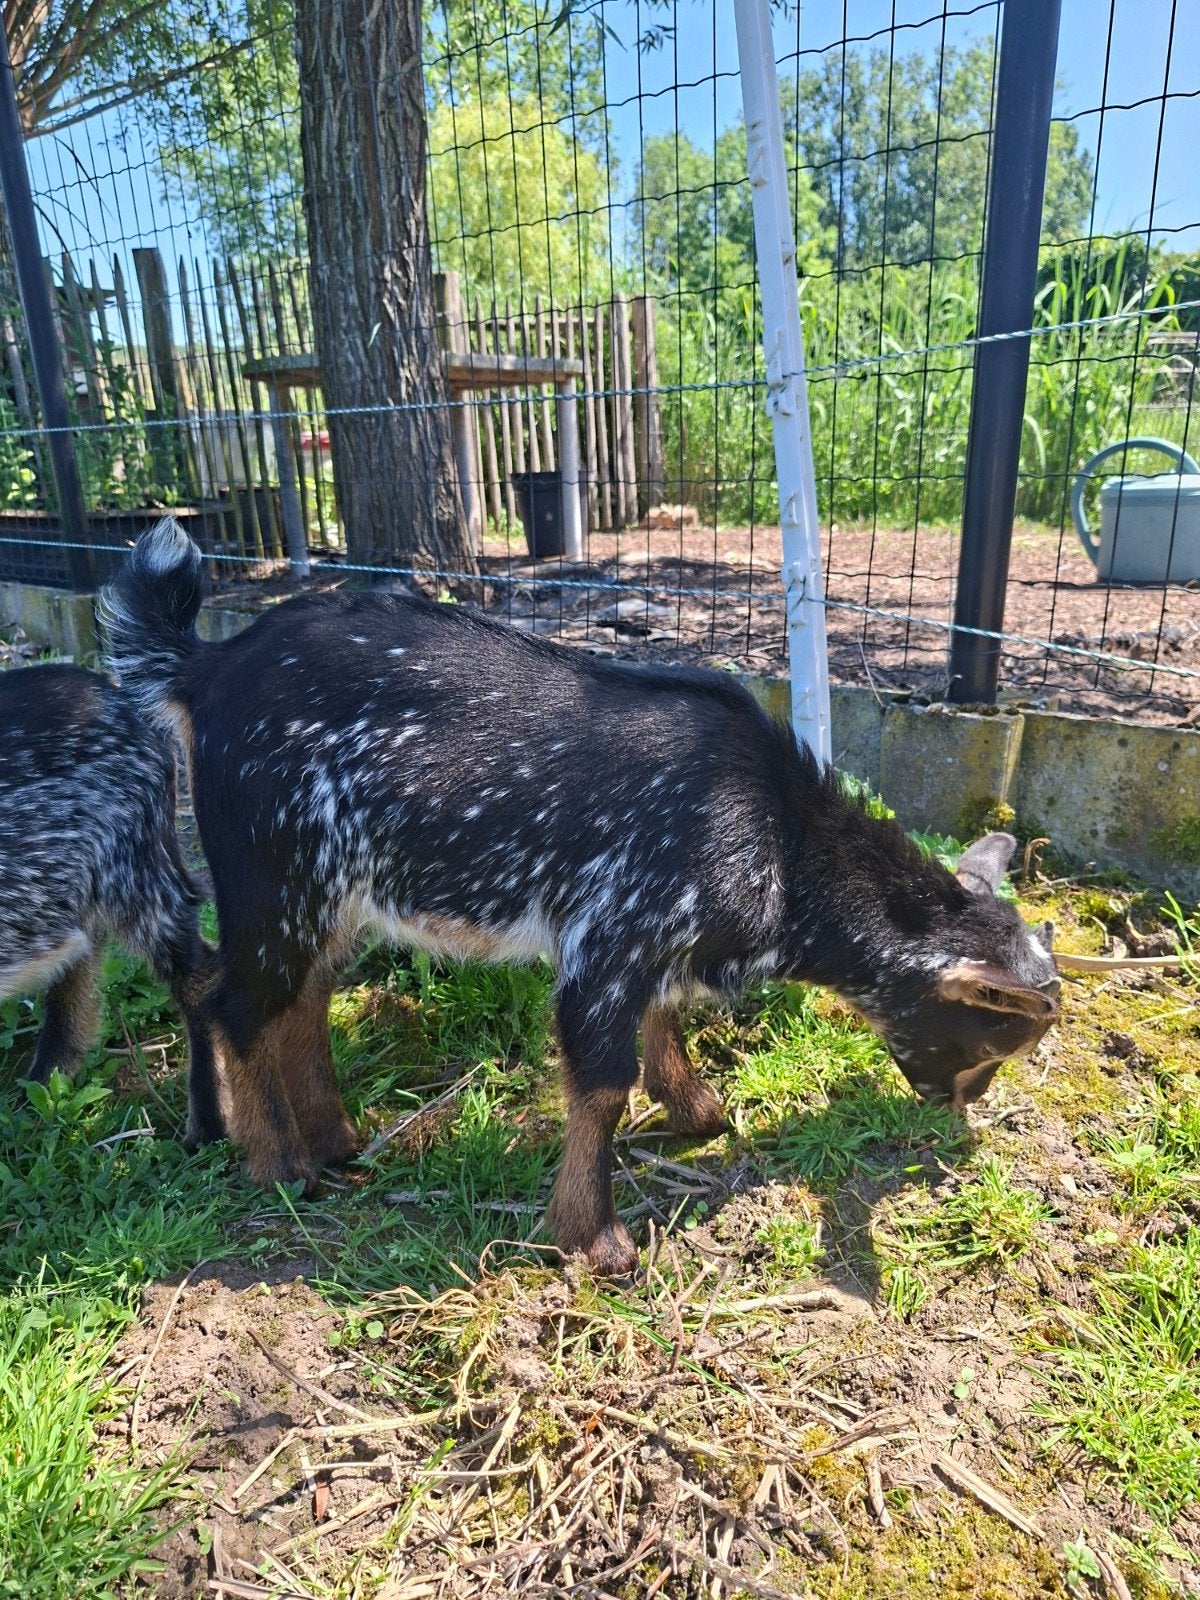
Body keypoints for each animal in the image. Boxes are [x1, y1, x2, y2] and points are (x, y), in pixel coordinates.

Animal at [102, 520, 1060, 1274]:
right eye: (994, 1037)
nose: (960, 1107)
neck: (777, 830)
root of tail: (204, 668)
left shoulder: (655, 941)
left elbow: (663, 1023)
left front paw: (700, 1114)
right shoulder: (610, 935)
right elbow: (602, 1082)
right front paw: (592, 1239)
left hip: (334, 892)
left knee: (302, 999)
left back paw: (335, 1142)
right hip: (273, 871)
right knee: (231, 1000)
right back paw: (278, 1167)